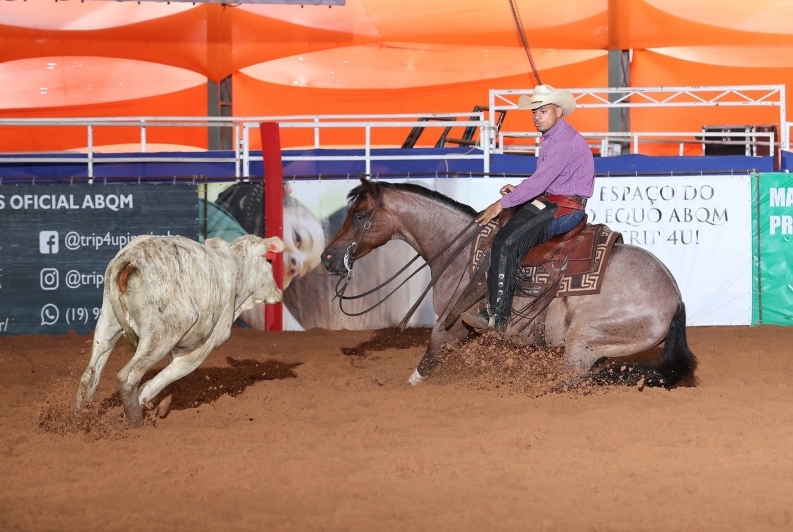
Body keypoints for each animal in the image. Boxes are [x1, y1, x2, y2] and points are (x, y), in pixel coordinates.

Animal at [75, 235, 284, 426]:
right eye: (269, 260)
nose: (279, 293)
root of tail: (130, 258)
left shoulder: (177, 348)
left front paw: (162, 407)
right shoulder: (199, 350)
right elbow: (156, 383)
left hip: (108, 321)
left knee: (90, 375)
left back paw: (79, 419)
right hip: (159, 337)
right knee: (127, 378)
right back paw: (136, 423)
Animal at [320, 177, 692, 388]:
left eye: (360, 215)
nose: (328, 258)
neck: (461, 249)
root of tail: (676, 297)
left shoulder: (452, 320)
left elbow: (432, 350)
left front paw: (409, 385)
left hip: (583, 341)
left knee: (573, 380)